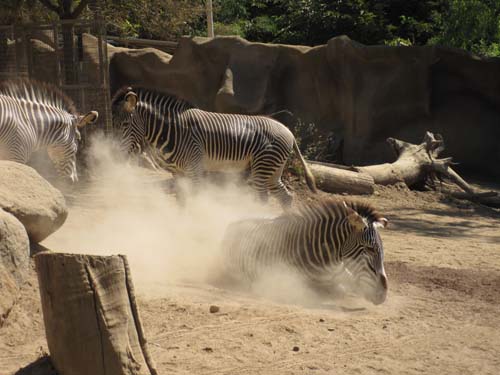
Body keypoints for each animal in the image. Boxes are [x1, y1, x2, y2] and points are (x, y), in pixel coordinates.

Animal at [112, 86, 316, 207]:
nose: (114, 156)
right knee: (286, 197)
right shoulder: (178, 173)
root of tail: (289, 131)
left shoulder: (194, 169)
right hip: (274, 169)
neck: (174, 131)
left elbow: (192, 201)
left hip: (263, 167)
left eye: (124, 125)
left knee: (264, 200)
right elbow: (181, 202)